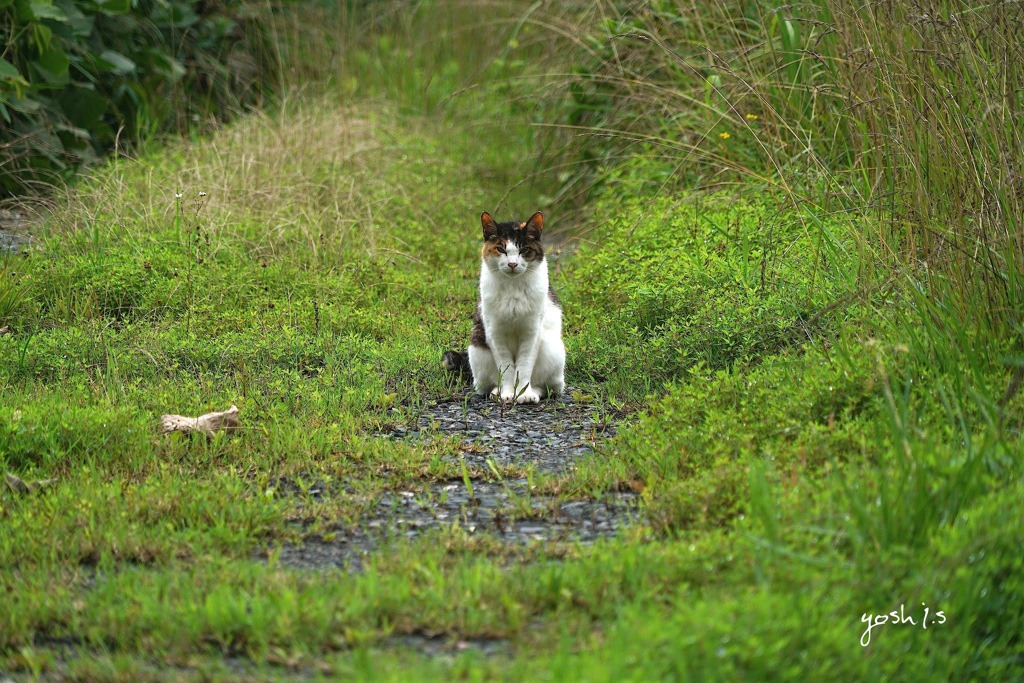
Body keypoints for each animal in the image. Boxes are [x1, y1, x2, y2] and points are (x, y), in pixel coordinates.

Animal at [442, 210, 569, 403]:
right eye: (501, 249)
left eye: (524, 250)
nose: (512, 264)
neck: (513, 287)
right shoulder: (495, 333)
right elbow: (507, 368)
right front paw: (508, 393)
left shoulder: (531, 333)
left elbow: (524, 366)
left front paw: (524, 394)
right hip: (477, 349)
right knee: (489, 383)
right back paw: (497, 392)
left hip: (552, 348)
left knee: (548, 386)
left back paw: (534, 392)